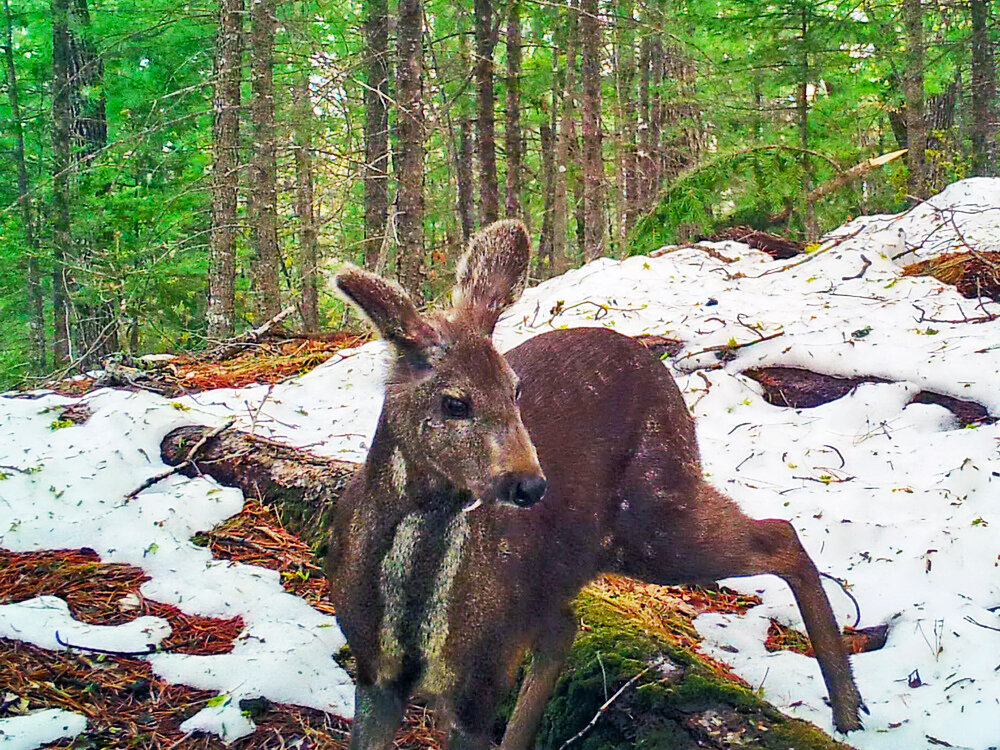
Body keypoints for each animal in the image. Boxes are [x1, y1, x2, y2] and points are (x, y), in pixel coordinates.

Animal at [324, 220, 864, 748]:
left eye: (515, 390)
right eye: (455, 402)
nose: (529, 484)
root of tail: (654, 364)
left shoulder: (481, 674)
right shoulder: (373, 673)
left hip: (654, 507)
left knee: (780, 534)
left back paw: (849, 709)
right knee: (567, 625)